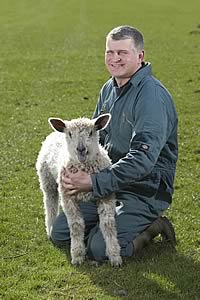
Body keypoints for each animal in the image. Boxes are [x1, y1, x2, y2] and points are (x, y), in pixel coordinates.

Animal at [36, 113, 122, 266]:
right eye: (70, 134)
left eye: (91, 132)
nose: (81, 149)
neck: (84, 167)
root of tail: (54, 133)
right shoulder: (67, 196)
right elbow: (76, 225)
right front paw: (77, 255)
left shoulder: (106, 195)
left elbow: (108, 224)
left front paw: (114, 255)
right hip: (48, 181)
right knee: (50, 204)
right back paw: (50, 228)